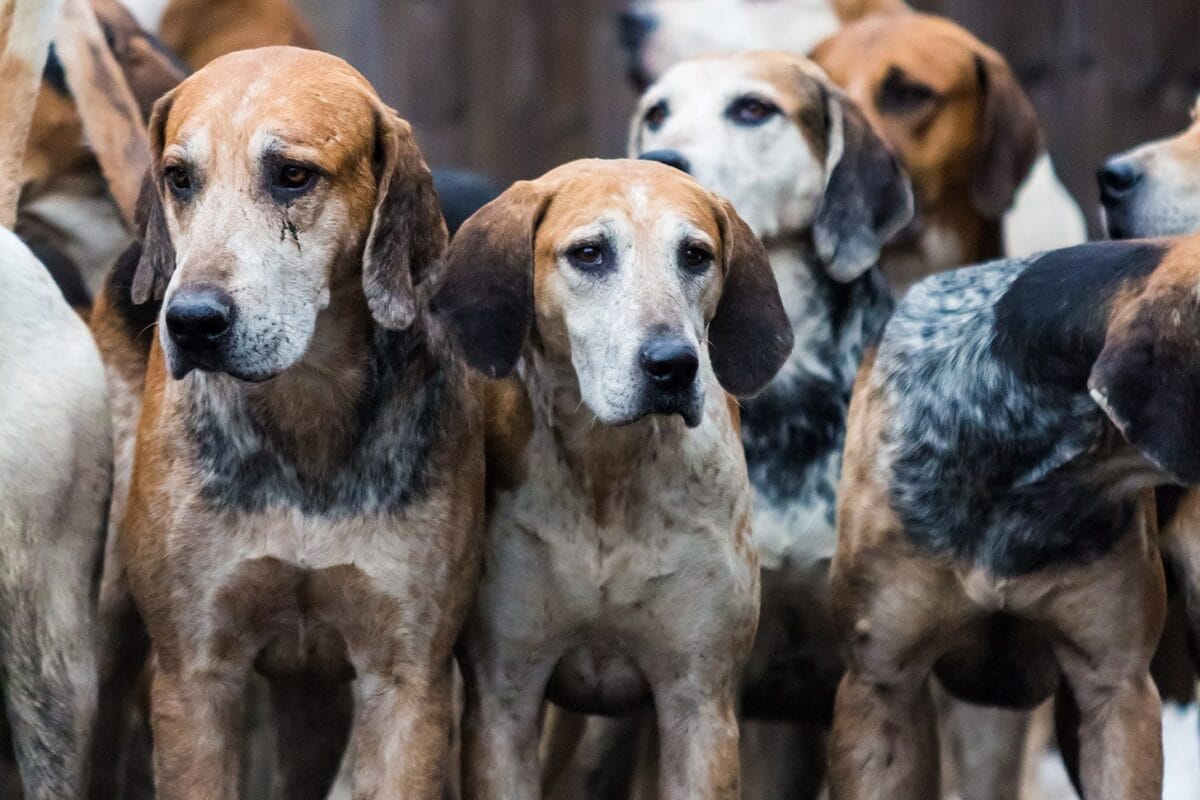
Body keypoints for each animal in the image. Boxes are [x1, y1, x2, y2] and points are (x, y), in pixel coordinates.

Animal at [91, 47, 482, 796]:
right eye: (179, 178)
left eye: (293, 176)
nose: (191, 322)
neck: (306, 405)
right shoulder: (196, 677)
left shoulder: (407, 685)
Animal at [432, 159, 796, 796]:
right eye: (589, 253)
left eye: (696, 255)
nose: (672, 364)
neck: (607, 467)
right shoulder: (504, 701)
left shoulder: (699, 706)